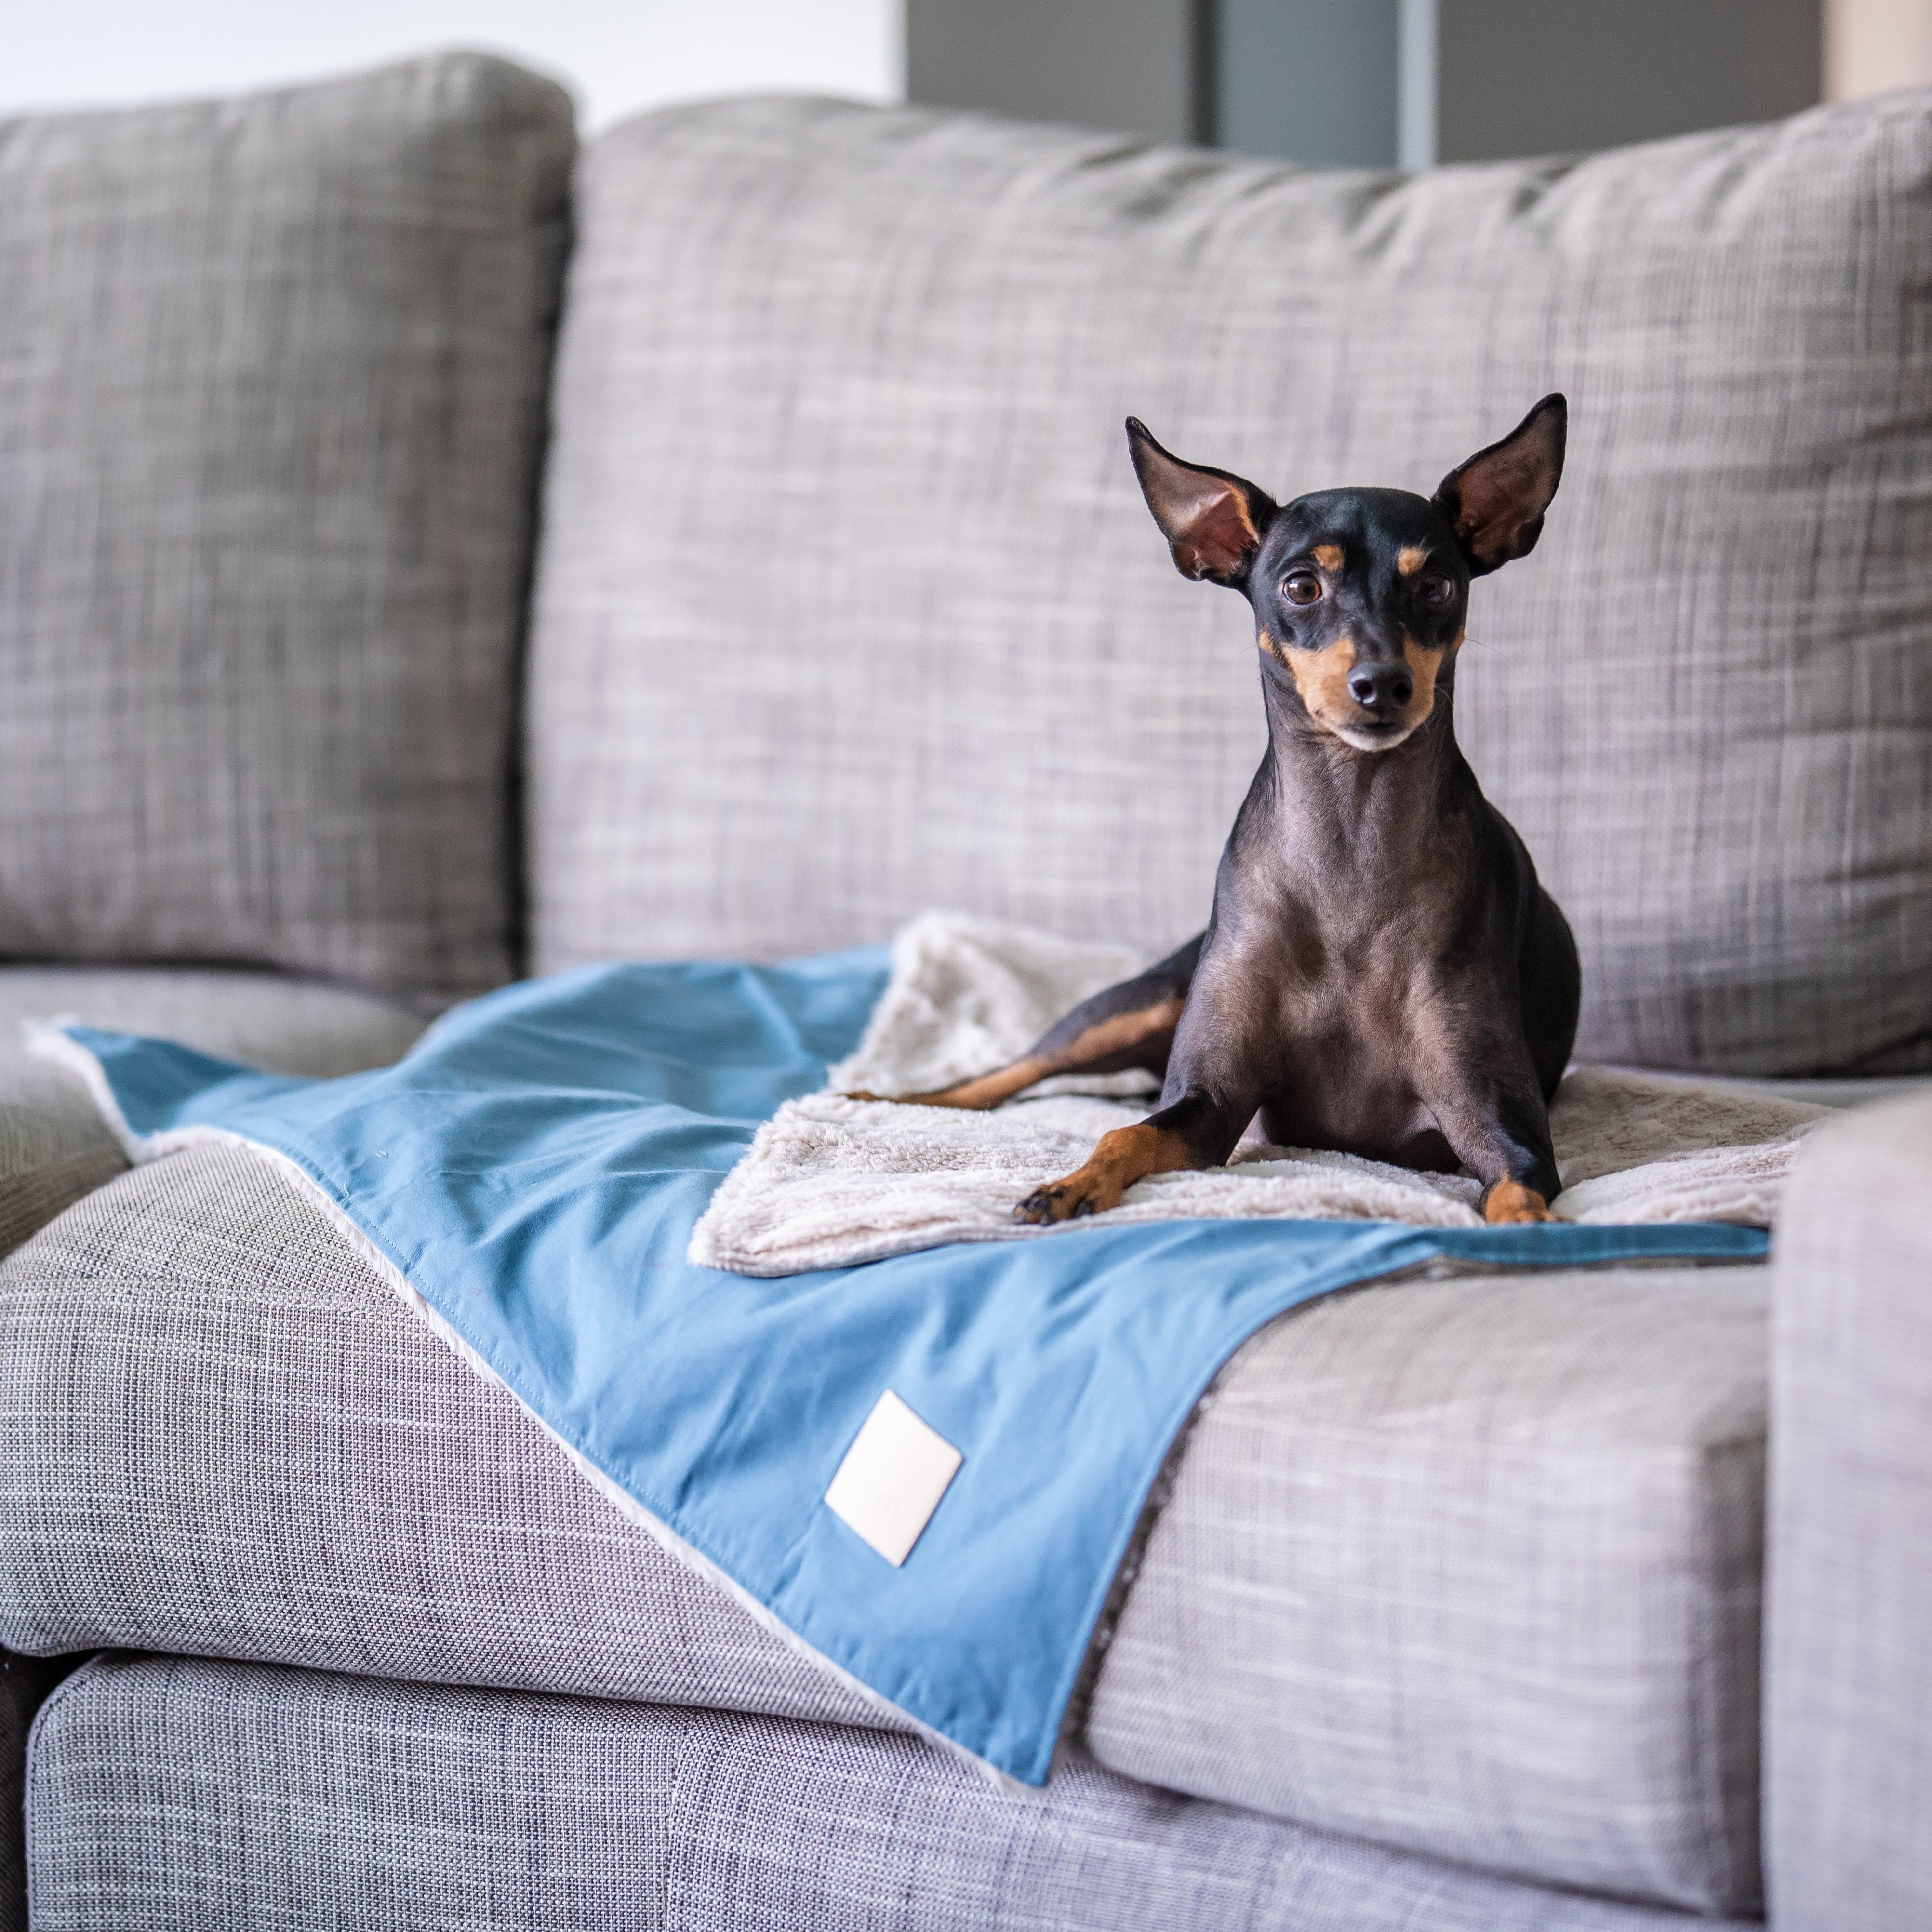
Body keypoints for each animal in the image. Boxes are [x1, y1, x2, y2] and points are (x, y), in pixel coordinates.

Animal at [869, 400, 1576, 1228]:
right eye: (1301, 586)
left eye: (1436, 587)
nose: (1382, 684)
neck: (1349, 845)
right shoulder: (1208, 1100)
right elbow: (1122, 1136)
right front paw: (1069, 1184)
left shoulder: (1500, 1125)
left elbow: (1517, 1195)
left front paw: (1531, 1239)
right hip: (1142, 1002)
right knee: (1011, 1072)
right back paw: (887, 1095)